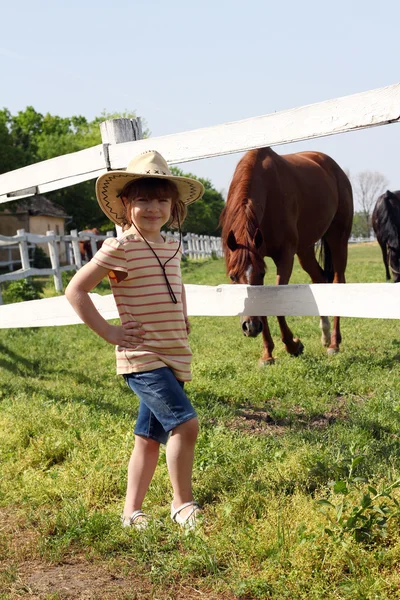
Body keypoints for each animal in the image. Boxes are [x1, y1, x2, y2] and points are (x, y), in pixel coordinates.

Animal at [220, 149, 354, 366]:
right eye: (232, 276)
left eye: (261, 273)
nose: (250, 327)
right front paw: (267, 354)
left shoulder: (285, 256)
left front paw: (293, 345)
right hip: (305, 250)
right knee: (319, 279)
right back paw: (325, 335)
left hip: (338, 238)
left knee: (337, 281)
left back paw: (334, 343)